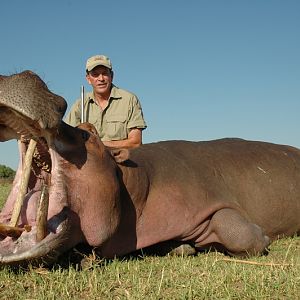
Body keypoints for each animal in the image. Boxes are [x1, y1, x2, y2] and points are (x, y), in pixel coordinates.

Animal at [0, 71, 300, 268]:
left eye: (88, 132)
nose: (26, 74)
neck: (130, 181)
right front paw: (181, 247)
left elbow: (239, 232)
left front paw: (263, 237)